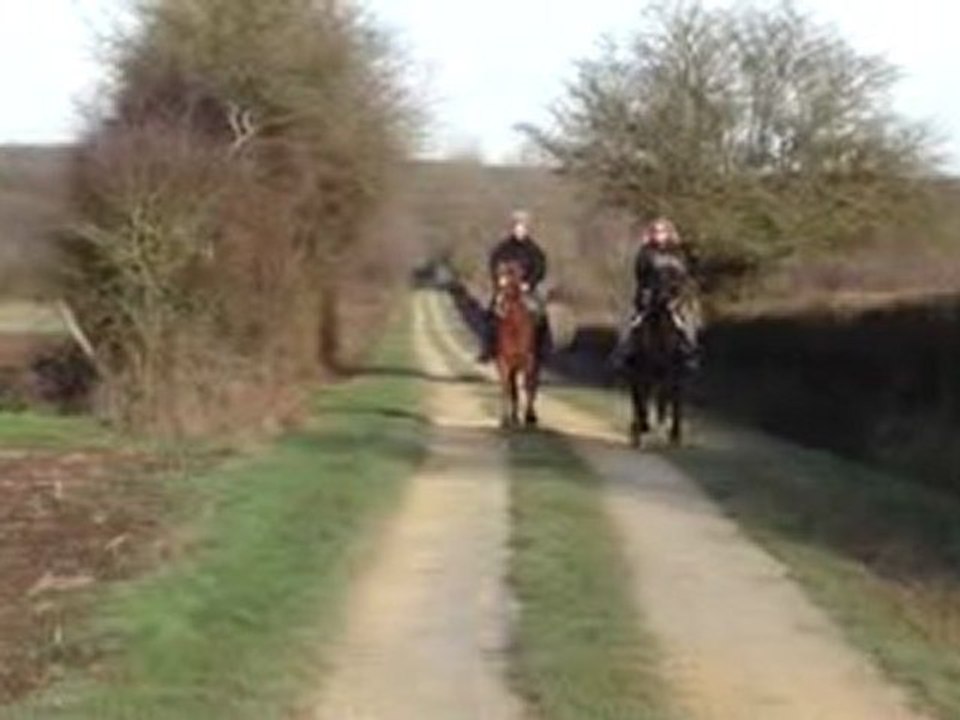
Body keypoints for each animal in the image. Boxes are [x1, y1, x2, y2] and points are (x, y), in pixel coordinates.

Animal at [493, 260, 540, 428]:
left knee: (532, 385)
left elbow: (528, 386)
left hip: (534, 363)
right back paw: (514, 417)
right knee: (513, 388)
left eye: (513, 286)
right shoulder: (503, 361)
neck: (515, 327)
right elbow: (506, 388)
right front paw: (505, 419)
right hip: (514, 366)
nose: (499, 305)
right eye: (499, 284)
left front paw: (529, 417)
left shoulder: (529, 360)